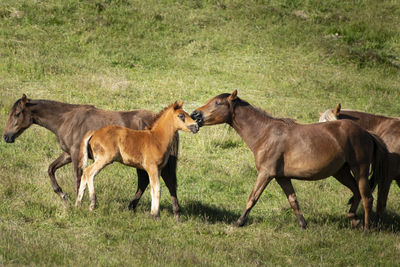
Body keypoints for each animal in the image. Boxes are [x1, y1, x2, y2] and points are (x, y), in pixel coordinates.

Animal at [2, 94, 181, 220]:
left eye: (17, 114)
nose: (6, 137)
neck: (66, 120)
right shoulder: (68, 154)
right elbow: (51, 169)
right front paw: (64, 195)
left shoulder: (76, 154)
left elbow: (77, 177)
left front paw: (78, 203)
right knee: (148, 182)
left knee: (165, 182)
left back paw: (173, 214)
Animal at [192, 91, 390, 231]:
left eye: (217, 103)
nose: (195, 114)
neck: (265, 133)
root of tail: (367, 134)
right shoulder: (282, 177)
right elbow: (293, 200)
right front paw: (303, 225)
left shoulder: (265, 174)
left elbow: (252, 198)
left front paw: (239, 222)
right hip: (341, 172)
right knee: (356, 193)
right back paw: (353, 220)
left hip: (360, 170)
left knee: (367, 197)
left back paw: (366, 229)